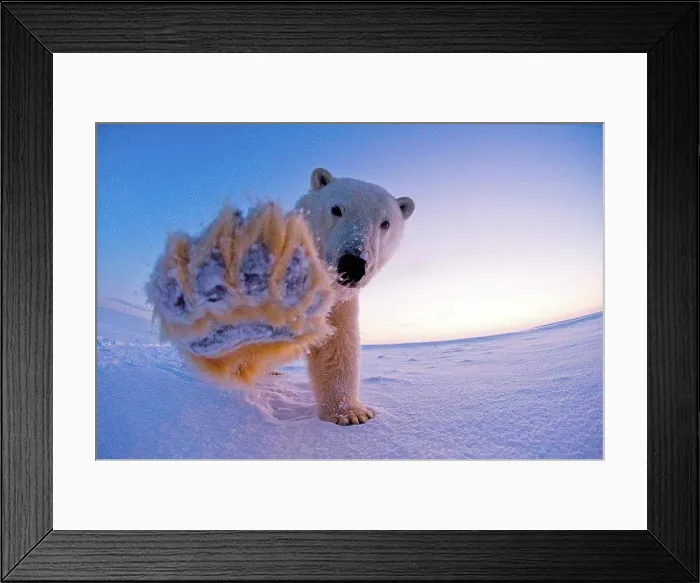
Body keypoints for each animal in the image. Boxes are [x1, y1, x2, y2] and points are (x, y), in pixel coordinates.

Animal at [295, 168, 415, 425]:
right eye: (336, 209)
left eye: (385, 223)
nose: (352, 265)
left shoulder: (337, 305)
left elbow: (336, 346)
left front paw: (351, 414)